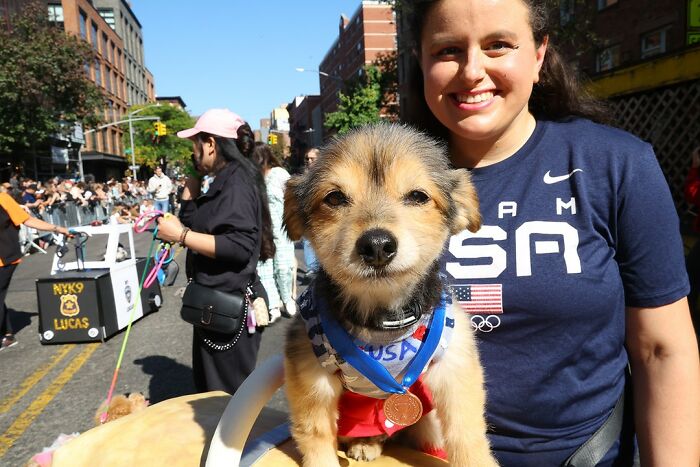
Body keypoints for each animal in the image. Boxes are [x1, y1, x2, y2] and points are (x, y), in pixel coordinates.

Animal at [282, 124, 494, 467]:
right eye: (335, 197)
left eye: (418, 196)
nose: (377, 245)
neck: (384, 321)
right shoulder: (309, 373)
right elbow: (314, 435)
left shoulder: (455, 366)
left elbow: (467, 434)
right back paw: (365, 442)